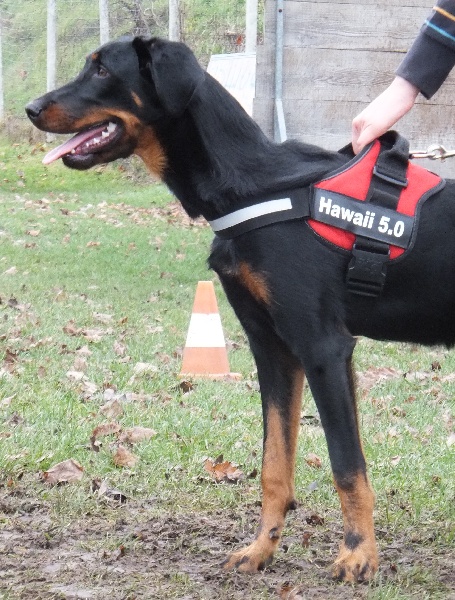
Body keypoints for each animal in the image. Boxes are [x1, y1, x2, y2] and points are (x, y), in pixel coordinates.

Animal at [26, 36, 454, 580]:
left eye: (102, 70)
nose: (31, 108)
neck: (255, 185)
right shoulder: (272, 348)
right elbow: (274, 466)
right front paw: (261, 549)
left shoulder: (323, 348)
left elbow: (346, 466)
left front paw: (358, 554)